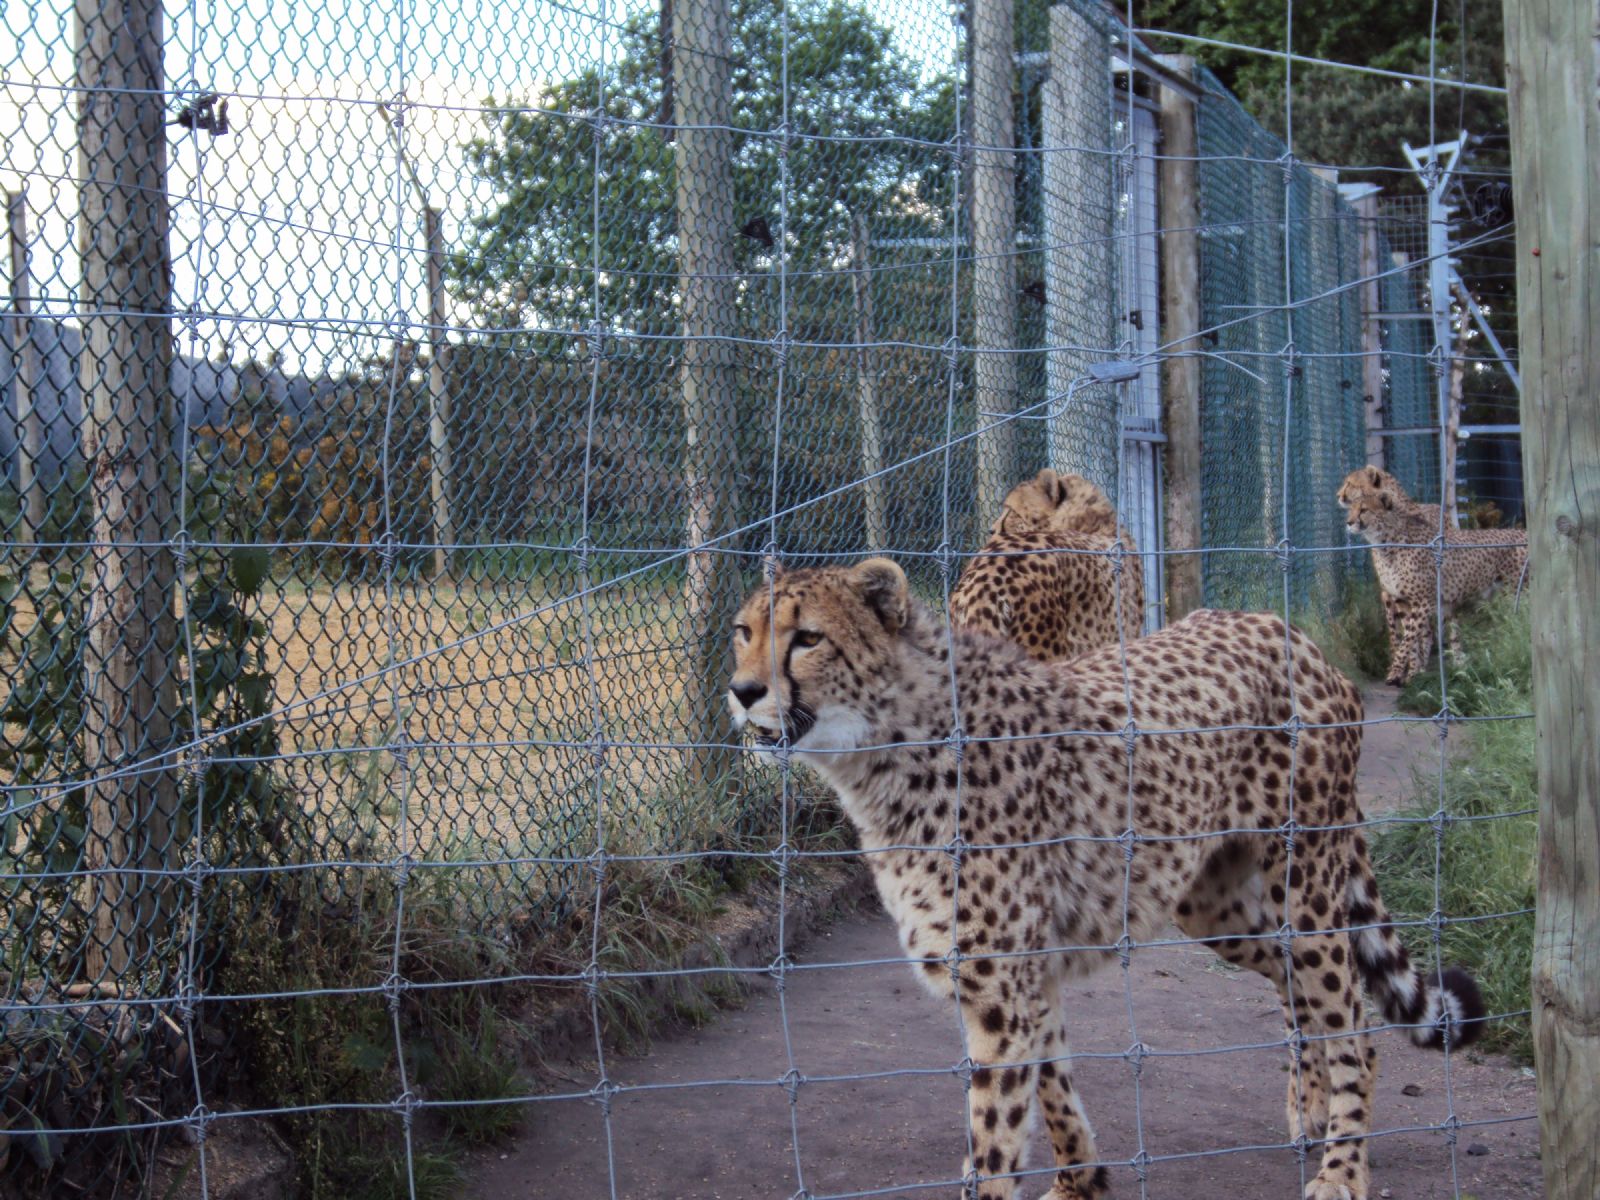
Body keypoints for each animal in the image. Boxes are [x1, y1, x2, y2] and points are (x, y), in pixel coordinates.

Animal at [732, 560, 1478, 1200]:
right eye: (744, 633)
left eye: (806, 638)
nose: (742, 692)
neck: (888, 747)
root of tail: (1285, 628)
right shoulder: (1019, 976)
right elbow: (1051, 1085)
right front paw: (1081, 1180)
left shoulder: (1000, 984)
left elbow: (997, 1130)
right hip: (1211, 903)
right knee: (1297, 982)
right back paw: (1310, 1106)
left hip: (1307, 881)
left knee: (1351, 1015)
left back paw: (1342, 1167)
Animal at [1337, 473, 1523, 691]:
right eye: (1351, 509)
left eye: (1364, 510)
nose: (1349, 522)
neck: (1385, 542)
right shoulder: (1402, 600)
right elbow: (1410, 640)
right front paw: (1411, 673)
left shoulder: (1423, 600)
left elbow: (1408, 639)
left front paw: (1398, 673)